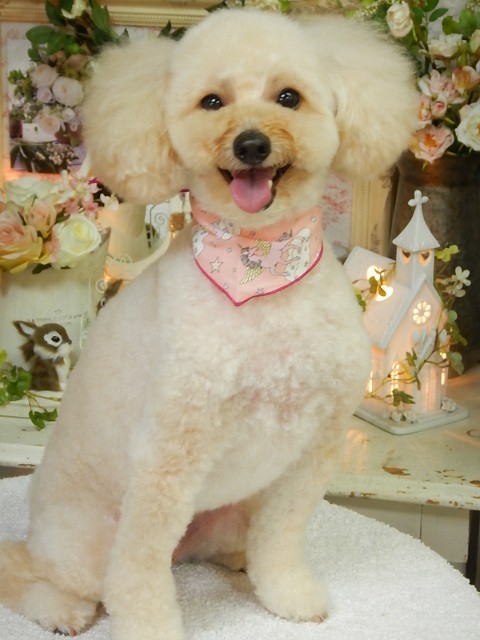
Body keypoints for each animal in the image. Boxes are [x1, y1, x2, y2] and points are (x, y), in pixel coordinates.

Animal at [0, 9, 418, 639]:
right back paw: (61, 610)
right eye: (212, 101)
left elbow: (282, 537)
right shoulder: (168, 454)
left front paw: (288, 593)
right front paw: (150, 627)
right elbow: (138, 573)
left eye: (288, 96)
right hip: (85, 541)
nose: (251, 144)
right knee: (45, 576)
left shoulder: (312, 450)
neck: (261, 267)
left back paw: (240, 559)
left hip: (228, 512)